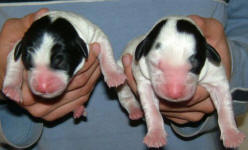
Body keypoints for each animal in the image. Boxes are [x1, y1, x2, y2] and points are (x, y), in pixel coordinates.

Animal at [116, 16, 244, 148]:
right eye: (155, 64)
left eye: (194, 66)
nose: (174, 94)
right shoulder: (144, 79)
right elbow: (151, 107)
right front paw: (156, 135)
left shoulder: (216, 76)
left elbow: (225, 105)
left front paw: (232, 134)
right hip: (121, 66)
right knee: (124, 93)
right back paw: (134, 109)